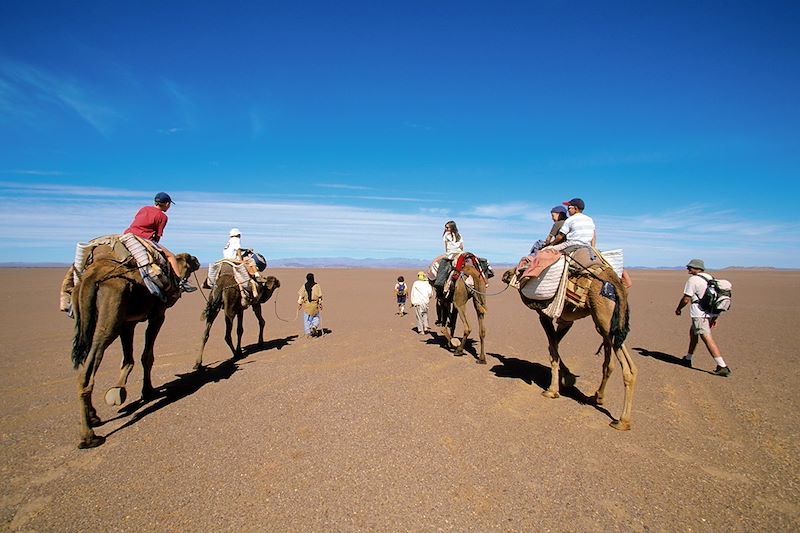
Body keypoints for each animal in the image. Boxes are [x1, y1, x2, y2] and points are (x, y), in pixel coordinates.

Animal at [69, 247, 200, 446]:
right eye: (190, 258)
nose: (198, 260)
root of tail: (90, 278)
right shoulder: (157, 315)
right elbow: (147, 356)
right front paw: (147, 391)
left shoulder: (127, 323)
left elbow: (128, 359)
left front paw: (119, 391)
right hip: (109, 321)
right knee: (87, 372)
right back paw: (89, 436)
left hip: (87, 320)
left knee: (88, 365)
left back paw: (93, 417)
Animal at [500, 260, 636, 430]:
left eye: (522, 268)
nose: (506, 274)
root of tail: (616, 284)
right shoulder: (566, 321)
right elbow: (554, 346)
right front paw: (567, 376)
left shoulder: (544, 314)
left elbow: (553, 349)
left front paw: (552, 390)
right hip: (609, 325)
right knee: (611, 364)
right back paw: (597, 397)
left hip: (605, 319)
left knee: (627, 369)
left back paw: (622, 421)